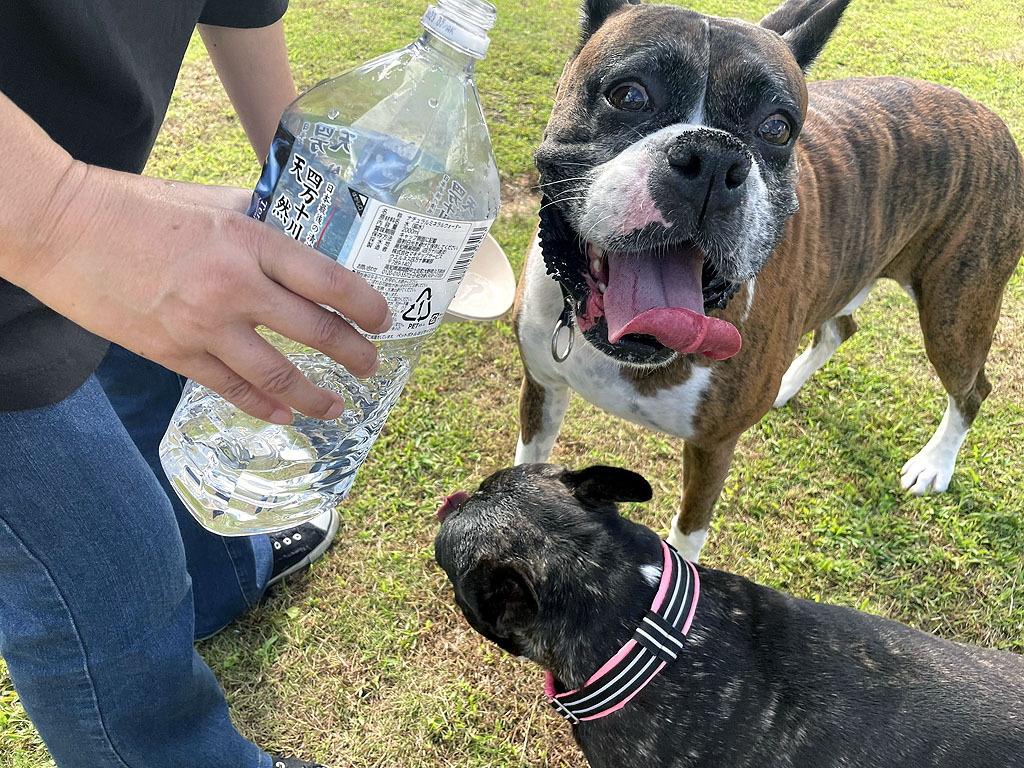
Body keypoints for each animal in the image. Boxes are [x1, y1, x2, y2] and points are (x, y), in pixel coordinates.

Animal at [512, 0, 1024, 561]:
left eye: (777, 128)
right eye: (629, 95)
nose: (713, 159)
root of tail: (992, 118)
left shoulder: (713, 447)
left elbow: (688, 534)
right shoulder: (541, 387)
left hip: (957, 315)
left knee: (972, 389)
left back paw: (935, 464)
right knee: (840, 329)